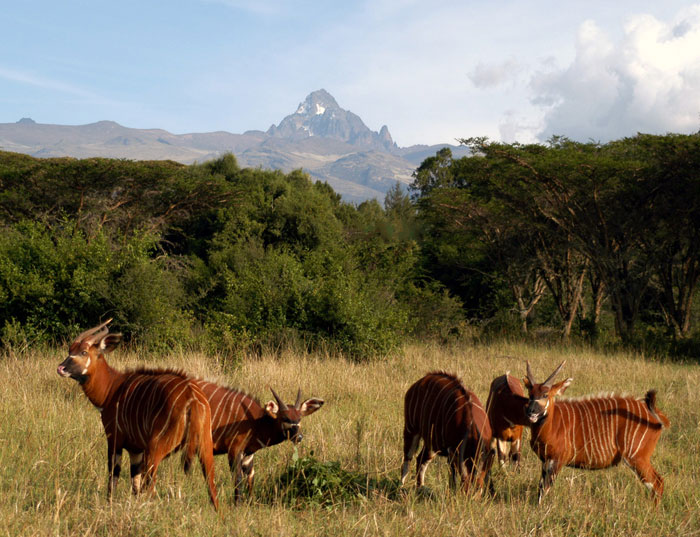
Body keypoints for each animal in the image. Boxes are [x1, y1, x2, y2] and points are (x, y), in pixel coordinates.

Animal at [56, 320, 217, 508]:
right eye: (70, 349)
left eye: (83, 352)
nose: (61, 368)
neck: (112, 388)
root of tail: (192, 398)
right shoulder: (136, 451)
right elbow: (135, 485)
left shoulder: (114, 440)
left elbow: (113, 478)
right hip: (204, 448)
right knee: (212, 489)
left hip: (155, 449)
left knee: (151, 488)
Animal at [180, 378, 322, 500]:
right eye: (285, 418)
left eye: (299, 418)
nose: (299, 437)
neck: (255, 422)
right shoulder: (234, 450)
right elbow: (237, 479)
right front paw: (237, 505)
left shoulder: (248, 454)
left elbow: (250, 478)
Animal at [524, 360, 668, 502]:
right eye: (530, 394)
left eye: (545, 395)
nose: (531, 411)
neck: (553, 423)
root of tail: (657, 416)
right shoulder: (545, 461)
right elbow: (541, 488)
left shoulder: (556, 460)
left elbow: (544, 490)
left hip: (637, 457)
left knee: (657, 483)